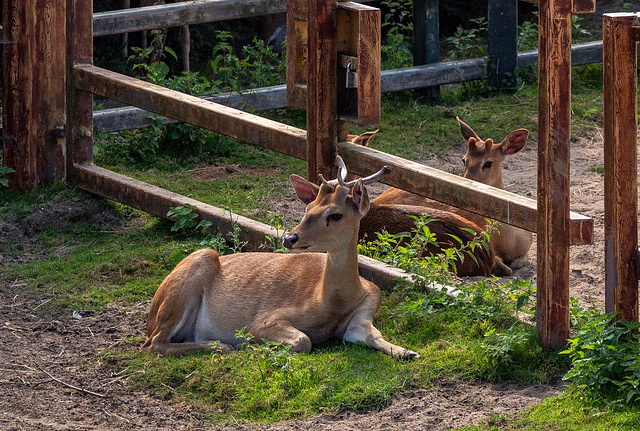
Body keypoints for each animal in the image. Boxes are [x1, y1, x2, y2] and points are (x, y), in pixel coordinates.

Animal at [142, 159, 418, 362]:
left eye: (336, 215)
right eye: (308, 209)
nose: (289, 238)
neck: (328, 302)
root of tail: (149, 319)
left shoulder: (365, 311)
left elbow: (375, 336)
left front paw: (407, 351)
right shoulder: (263, 319)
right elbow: (304, 340)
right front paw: (250, 345)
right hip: (196, 266)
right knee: (153, 343)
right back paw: (221, 346)